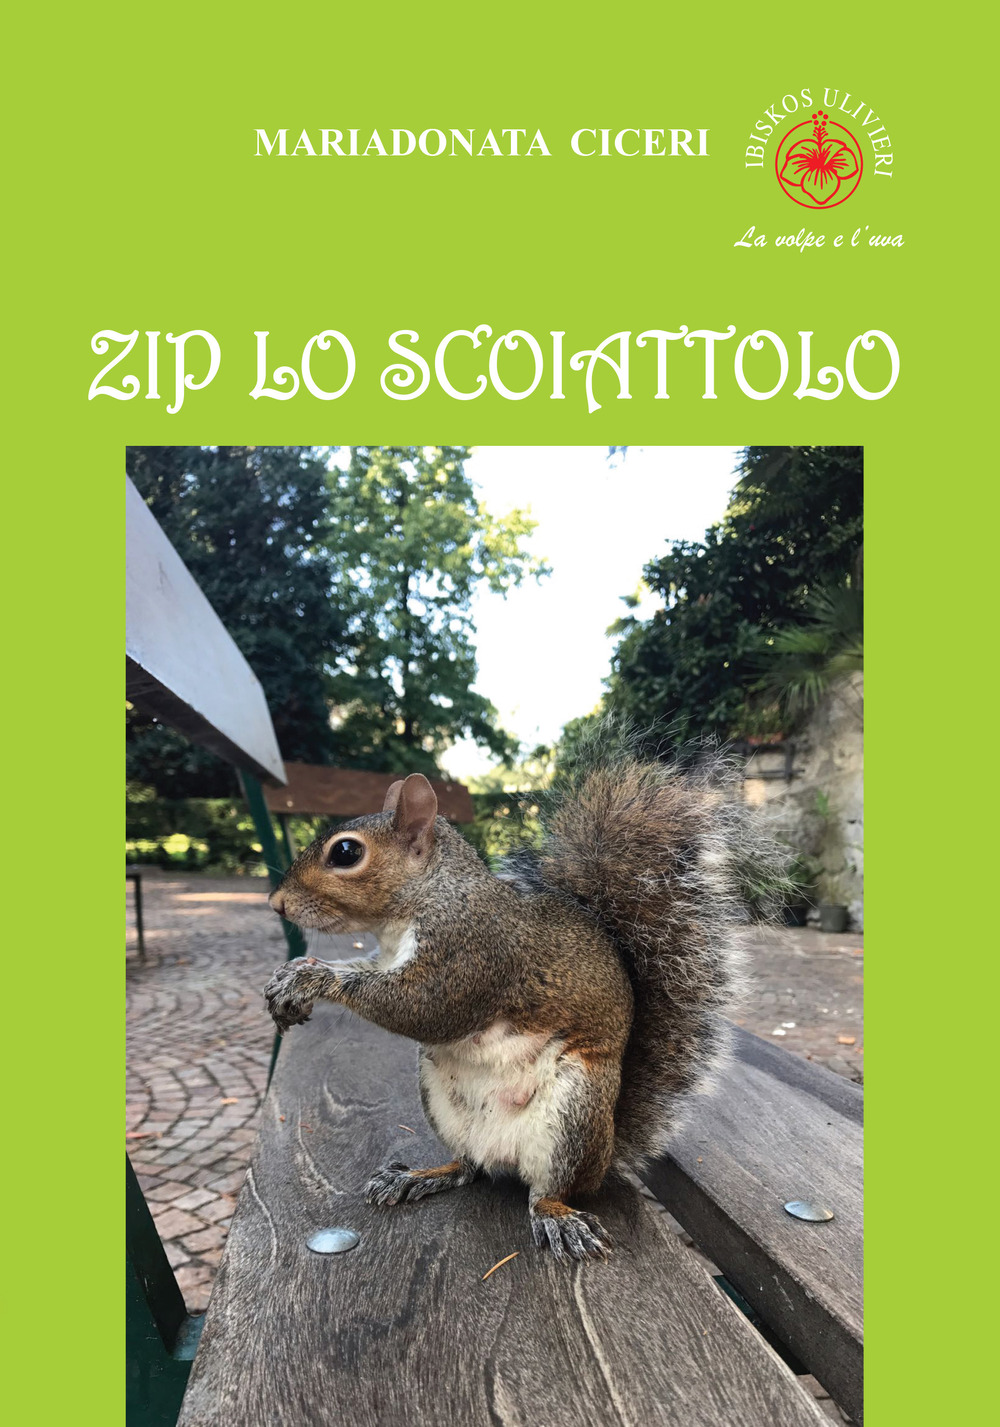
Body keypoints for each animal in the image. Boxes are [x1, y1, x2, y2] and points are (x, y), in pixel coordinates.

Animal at [264, 733, 781, 1263]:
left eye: (346, 853)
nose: (276, 903)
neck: (426, 900)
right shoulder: (389, 957)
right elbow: (364, 973)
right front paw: (292, 975)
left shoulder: (472, 954)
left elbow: (424, 1009)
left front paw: (313, 980)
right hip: (442, 1099)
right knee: (467, 1166)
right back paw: (420, 1176)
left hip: (573, 1113)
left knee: (548, 1189)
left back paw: (557, 1217)